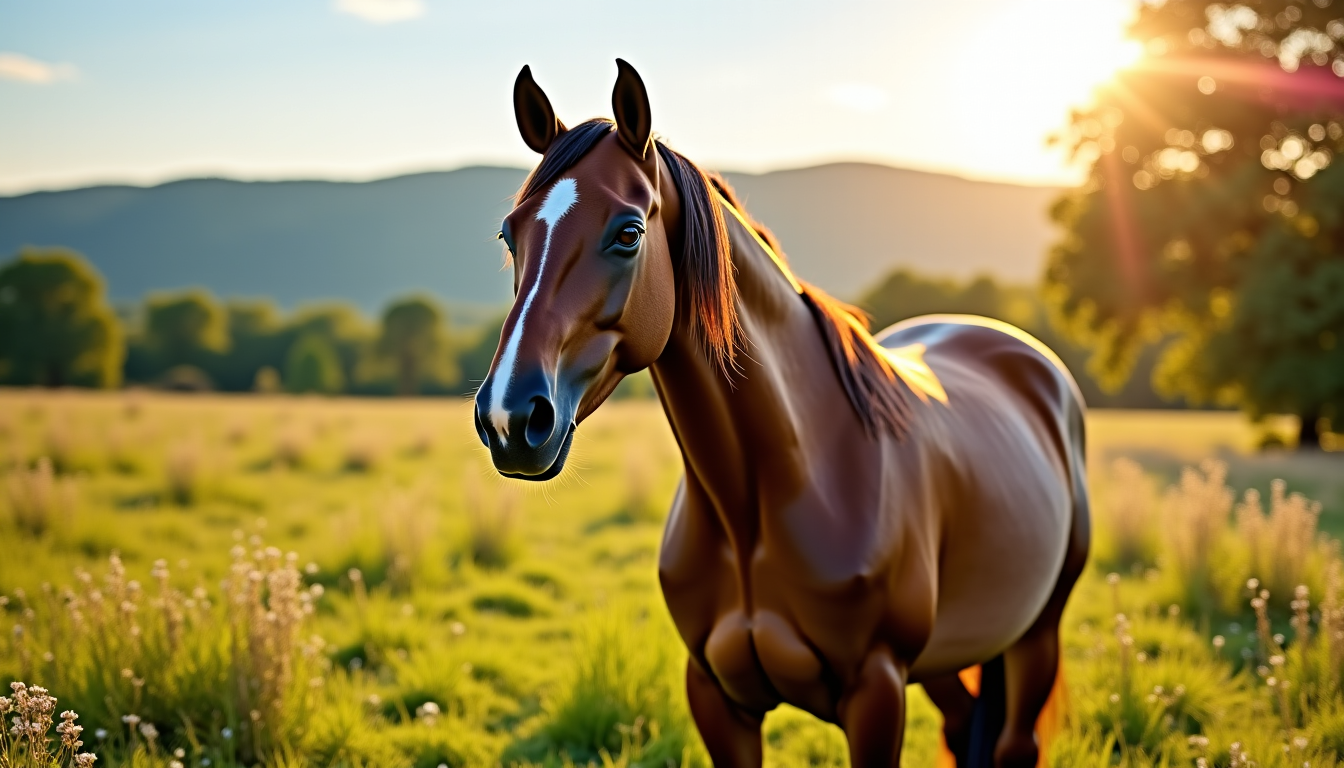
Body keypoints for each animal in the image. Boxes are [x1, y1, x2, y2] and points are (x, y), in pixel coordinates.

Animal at [472, 59, 1090, 768]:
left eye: (628, 233)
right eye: (510, 233)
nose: (510, 418)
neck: (769, 498)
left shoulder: (877, 692)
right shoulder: (718, 696)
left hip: (1036, 635)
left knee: (1017, 742)